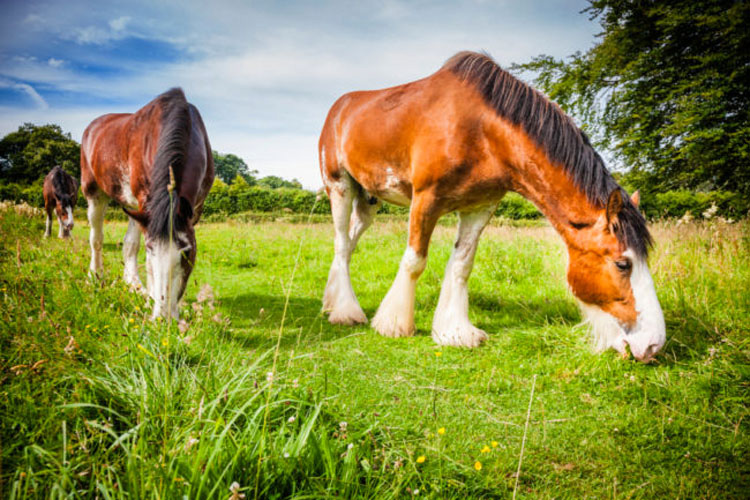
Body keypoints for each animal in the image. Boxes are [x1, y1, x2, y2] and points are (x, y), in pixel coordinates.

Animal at [81, 88, 214, 318]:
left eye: (187, 252)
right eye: (151, 250)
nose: (164, 317)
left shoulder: (192, 212)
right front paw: (152, 300)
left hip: (134, 207)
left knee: (129, 244)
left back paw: (134, 285)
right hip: (94, 192)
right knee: (96, 238)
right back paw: (94, 277)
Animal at [320, 51, 668, 364]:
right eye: (623, 264)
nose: (653, 345)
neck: (480, 129)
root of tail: (338, 109)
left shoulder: (480, 206)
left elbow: (462, 265)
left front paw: (455, 332)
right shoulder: (425, 199)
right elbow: (414, 261)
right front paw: (393, 324)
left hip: (369, 199)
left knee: (348, 244)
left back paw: (332, 301)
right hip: (340, 187)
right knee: (340, 242)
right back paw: (346, 312)